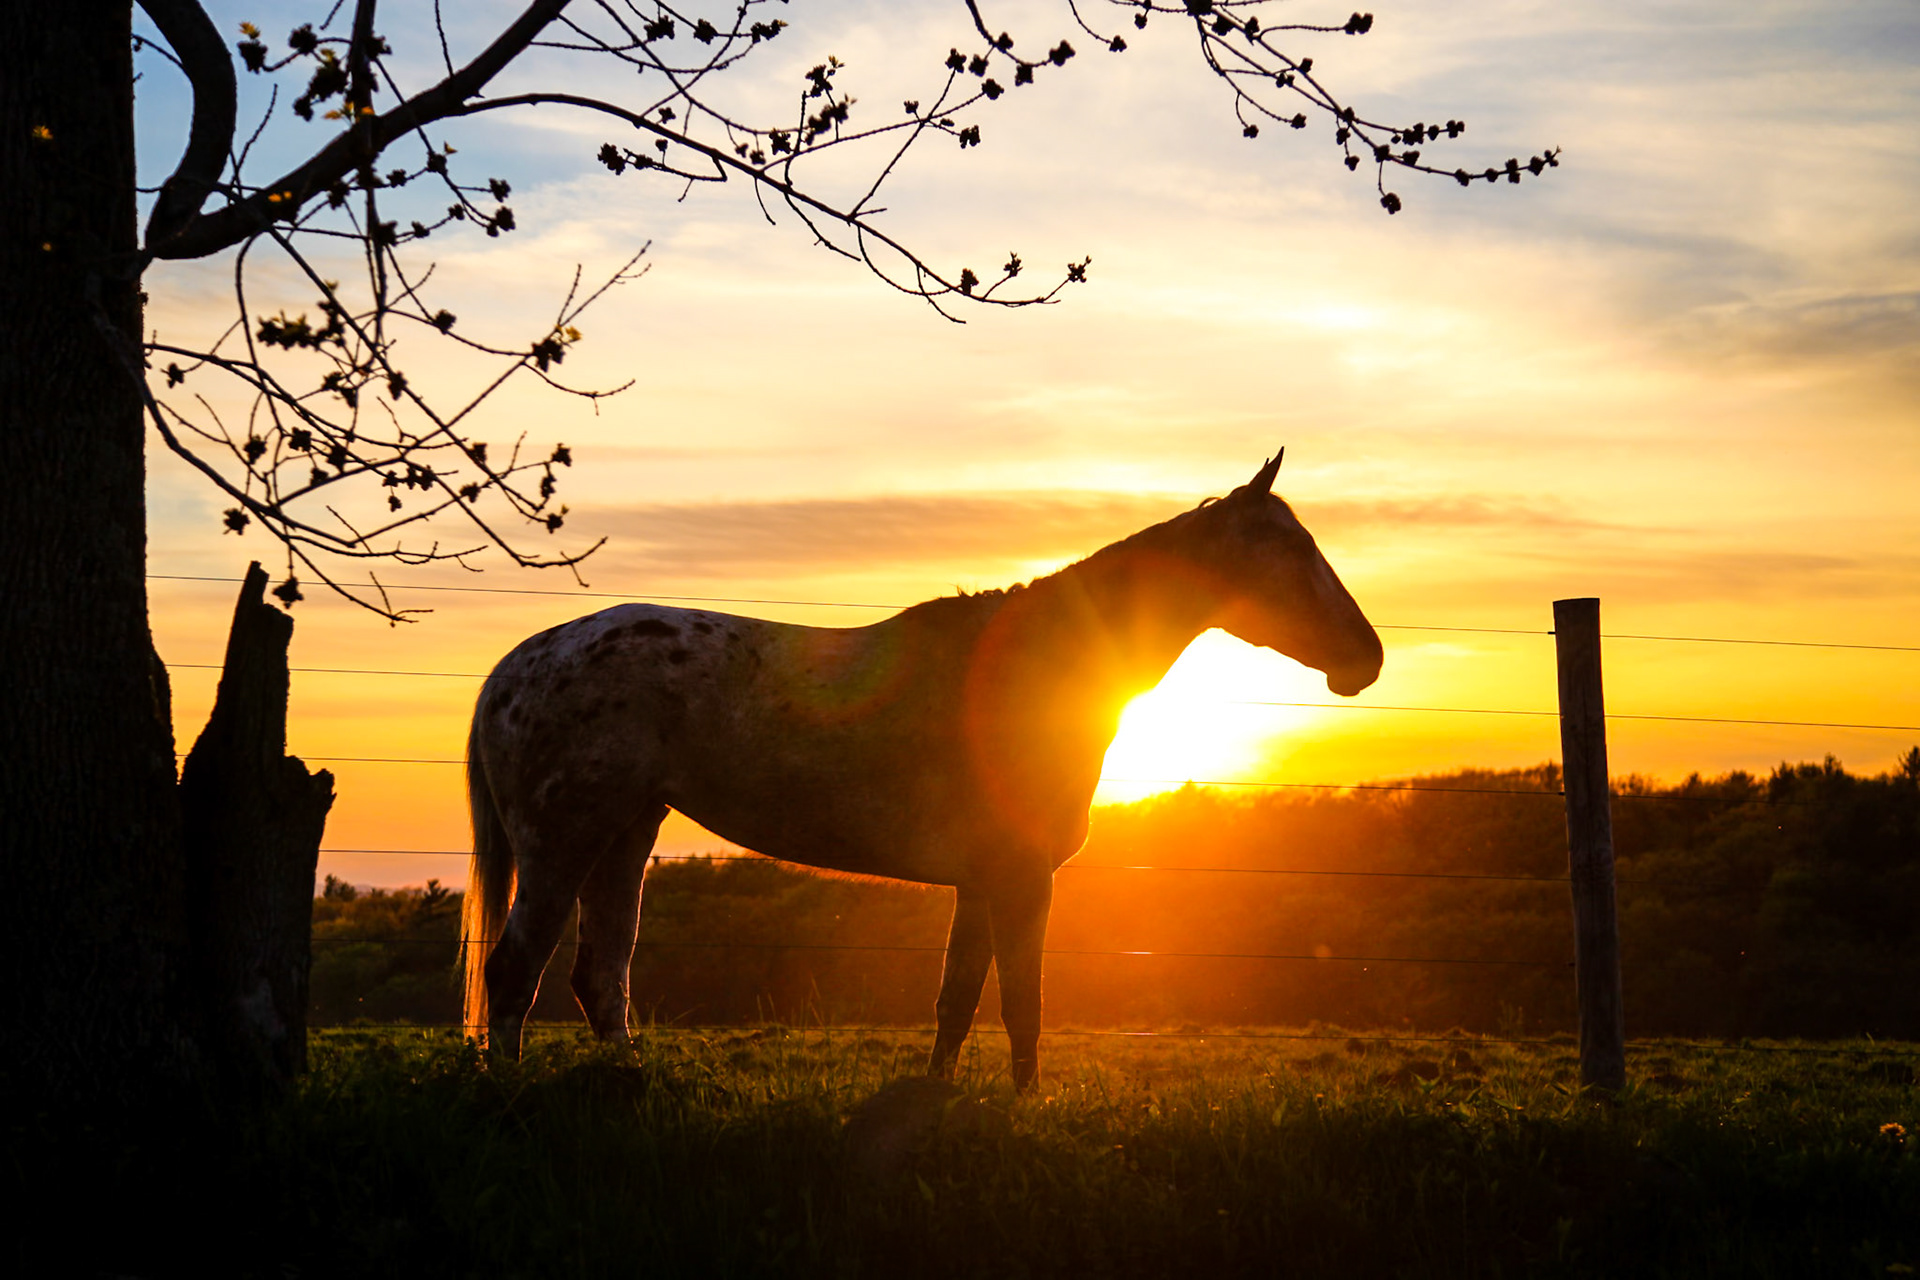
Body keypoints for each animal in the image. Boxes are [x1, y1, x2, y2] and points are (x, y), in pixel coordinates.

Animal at [461, 450, 1382, 1088]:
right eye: (1293, 551)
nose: (1365, 659)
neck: (1033, 670)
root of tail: (517, 665)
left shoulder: (979, 882)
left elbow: (958, 1000)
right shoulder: (1020, 878)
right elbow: (1020, 1003)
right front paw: (1025, 1106)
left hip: (626, 834)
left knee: (600, 974)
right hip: (565, 844)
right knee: (515, 972)